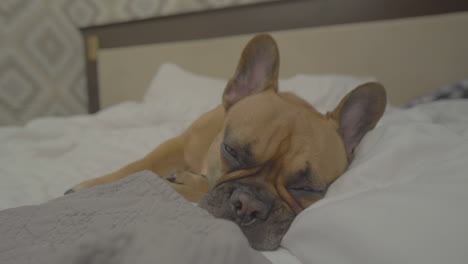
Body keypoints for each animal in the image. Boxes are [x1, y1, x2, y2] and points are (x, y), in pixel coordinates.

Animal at [66, 34, 388, 251]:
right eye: (231, 150)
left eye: (308, 189)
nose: (249, 206)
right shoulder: (178, 144)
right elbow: (139, 165)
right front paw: (93, 186)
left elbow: (192, 187)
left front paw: (183, 183)